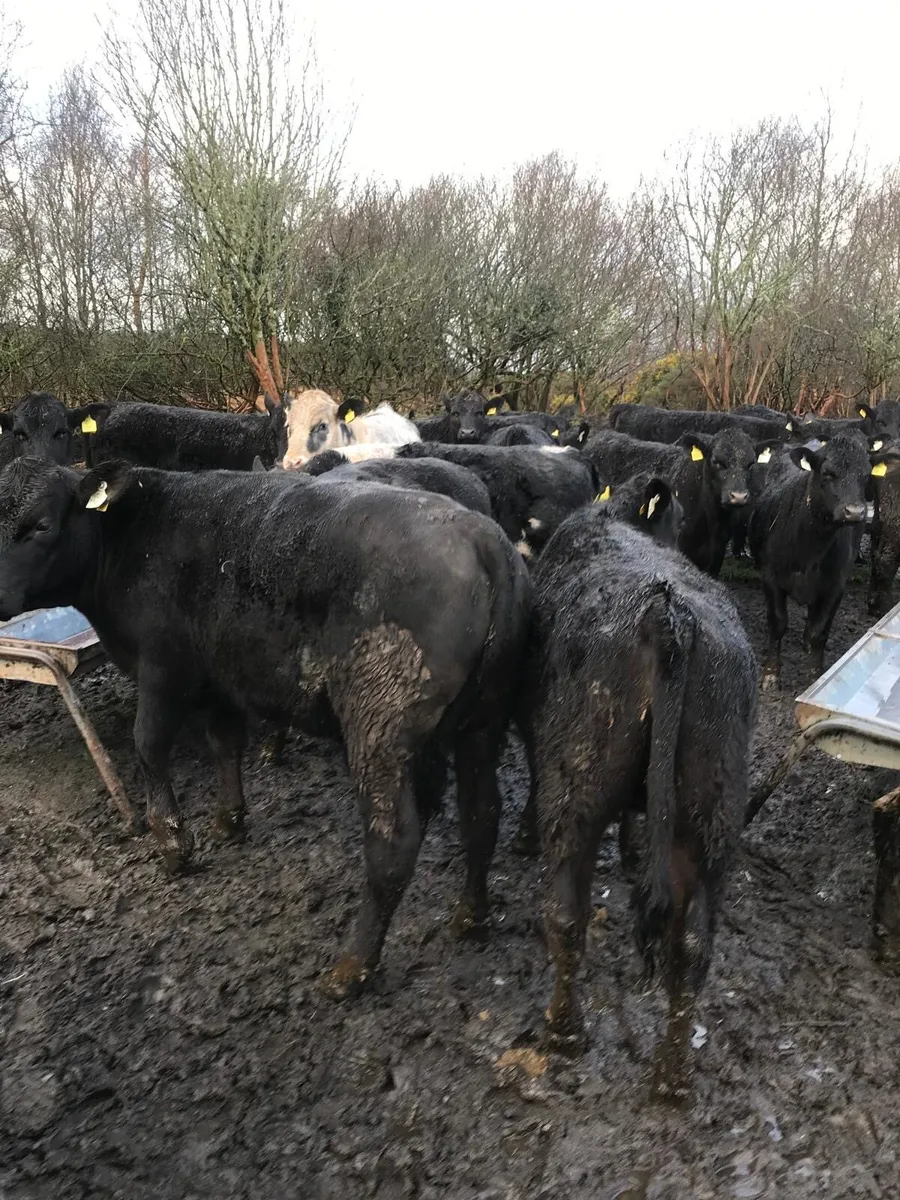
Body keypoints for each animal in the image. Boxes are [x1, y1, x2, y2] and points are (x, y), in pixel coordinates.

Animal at [0, 457, 531, 996]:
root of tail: (481, 536)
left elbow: (148, 746)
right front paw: (228, 821)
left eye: (40, 525)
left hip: (379, 726)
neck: (135, 535)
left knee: (393, 845)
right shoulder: (219, 678)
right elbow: (225, 743)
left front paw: (174, 845)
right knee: (482, 814)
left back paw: (352, 967)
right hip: (482, 723)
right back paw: (470, 918)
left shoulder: (165, 669)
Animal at [518, 499, 756, 1101]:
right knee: (691, 947)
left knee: (566, 914)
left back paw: (564, 1031)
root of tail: (669, 617)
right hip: (713, 814)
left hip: (576, 785)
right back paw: (672, 1078)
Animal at [748, 433, 871, 687]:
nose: (854, 511)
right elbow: (778, 623)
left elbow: (819, 631)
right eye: (828, 473)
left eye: (866, 475)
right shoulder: (770, 577)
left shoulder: (835, 586)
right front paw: (770, 672)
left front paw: (815, 674)